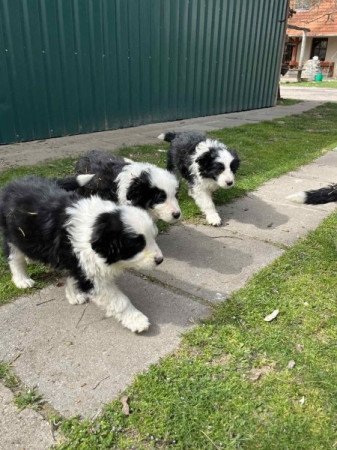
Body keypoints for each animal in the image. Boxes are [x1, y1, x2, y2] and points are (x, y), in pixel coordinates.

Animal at [0, 176, 163, 334]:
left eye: (153, 237)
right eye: (138, 245)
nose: (160, 260)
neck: (95, 225)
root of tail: (14, 183)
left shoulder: (79, 260)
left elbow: (74, 276)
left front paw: (74, 295)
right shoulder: (93, 277)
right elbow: (119, 300)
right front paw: (137, 320)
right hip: (11, 234)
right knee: (15, 258)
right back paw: (22, 280)